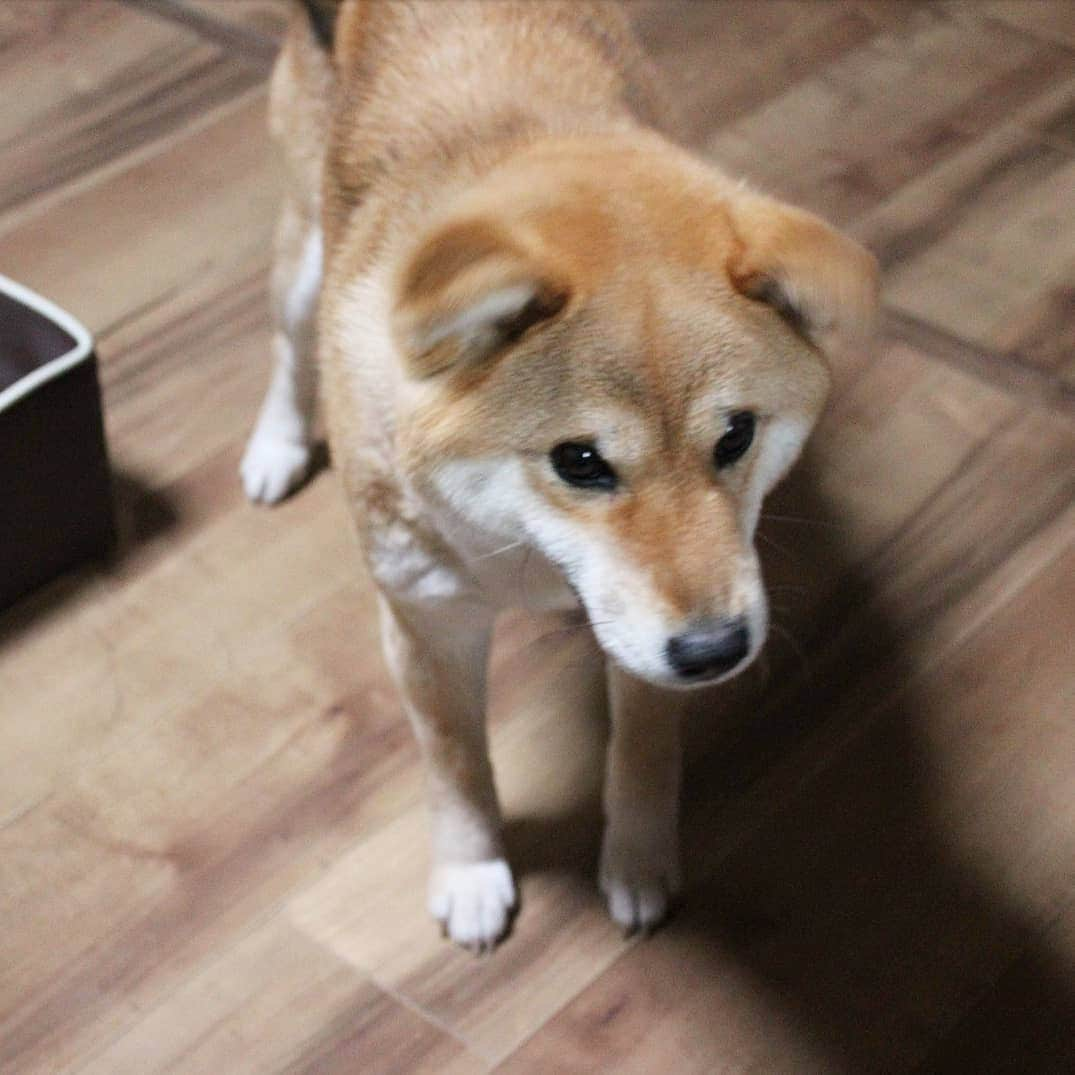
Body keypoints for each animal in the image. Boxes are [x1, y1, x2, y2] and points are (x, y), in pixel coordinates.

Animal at [241, 0, 872, 950]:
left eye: (735, 436)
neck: (525, 554)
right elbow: (456, 761)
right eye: (579, 460)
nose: (714, 652)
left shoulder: (649, 627)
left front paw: (639, 860)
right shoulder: (425, 621)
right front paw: (470, 871)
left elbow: (643, 749)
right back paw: (276, 446)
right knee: (287, 348)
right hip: (305, 264)